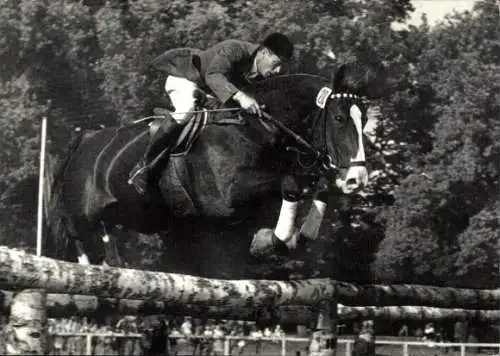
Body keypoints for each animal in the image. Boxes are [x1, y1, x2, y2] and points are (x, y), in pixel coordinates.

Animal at [46, 64, 376, 278]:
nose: (356, 179)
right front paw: (277, 240)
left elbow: (315, 186)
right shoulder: (227, 197)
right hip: (81, 216)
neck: (256, 126)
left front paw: (289, 238)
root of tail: (84, 139)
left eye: (365, 119)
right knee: (82, 246)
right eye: (338, 119)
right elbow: (291, 183)